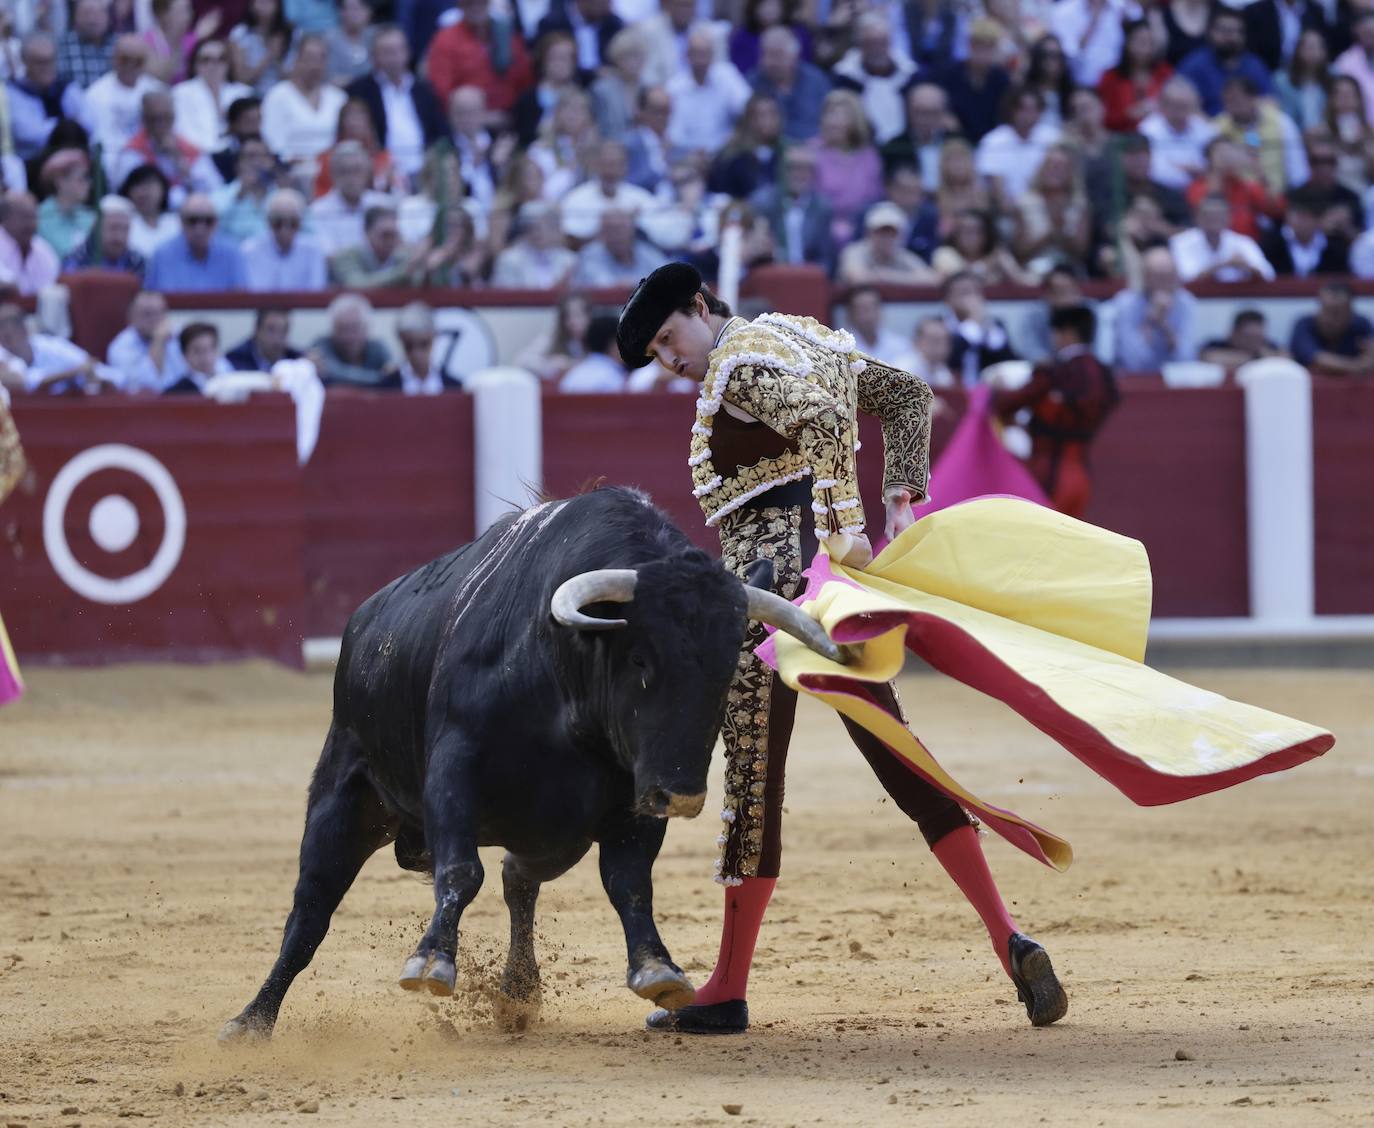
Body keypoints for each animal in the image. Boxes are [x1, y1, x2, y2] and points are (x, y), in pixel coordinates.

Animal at [222, 486, 835, 1038]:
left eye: (727, 668)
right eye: (640, 658)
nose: (682, 797)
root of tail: (365, 619)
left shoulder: (634, 795)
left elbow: (629, 881)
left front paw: (658, 970)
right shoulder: (453, 771)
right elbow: (460, 870)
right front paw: (431, 963)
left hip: (554, 835)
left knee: (518, 879)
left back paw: (517, 994)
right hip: (345, 796)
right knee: (311, 911)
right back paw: (251, 1021)